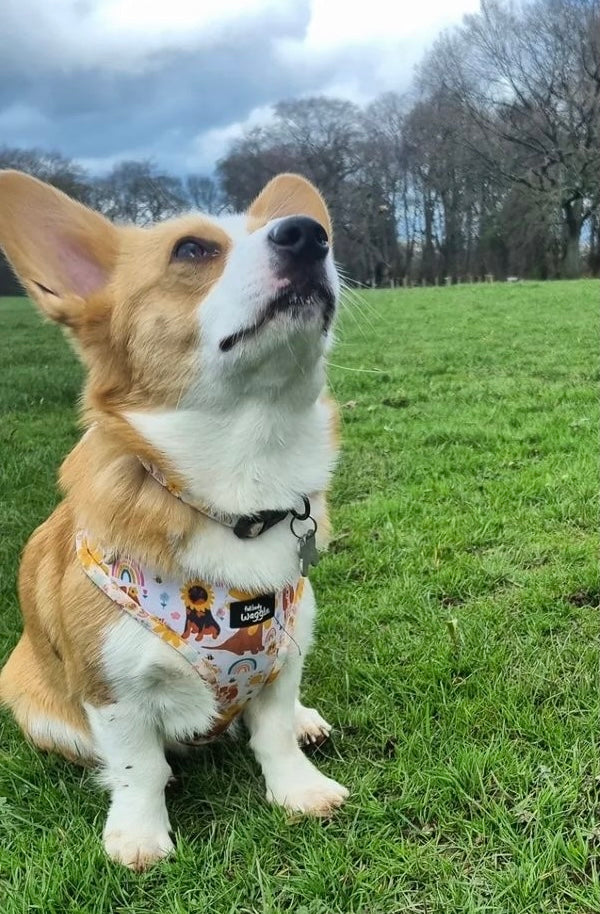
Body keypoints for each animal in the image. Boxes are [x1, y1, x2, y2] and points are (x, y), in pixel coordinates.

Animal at [0, 169, 346, 868]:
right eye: (192, 249)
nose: (310, 234)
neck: (242, 489)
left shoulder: (286, 649)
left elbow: (272, 731)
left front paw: (299, 791)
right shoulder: (112, 687)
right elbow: (140, 767)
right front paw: (139, 837)